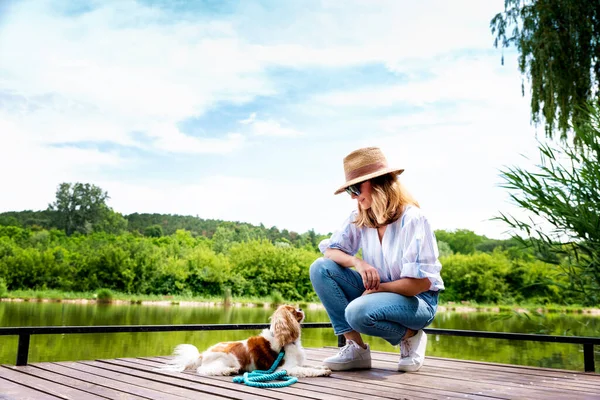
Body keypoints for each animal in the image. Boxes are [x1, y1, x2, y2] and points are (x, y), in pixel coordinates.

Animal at [157, 306, 330, 378]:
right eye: (293, 311)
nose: (301, 308)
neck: (288, 341)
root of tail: (202, 355)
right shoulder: (287, 368)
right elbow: (305, 370)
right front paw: (321, 371)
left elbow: (309, 366)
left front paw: (322, 367)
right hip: (230, 359)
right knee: (204, 370)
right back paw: (228, 371)